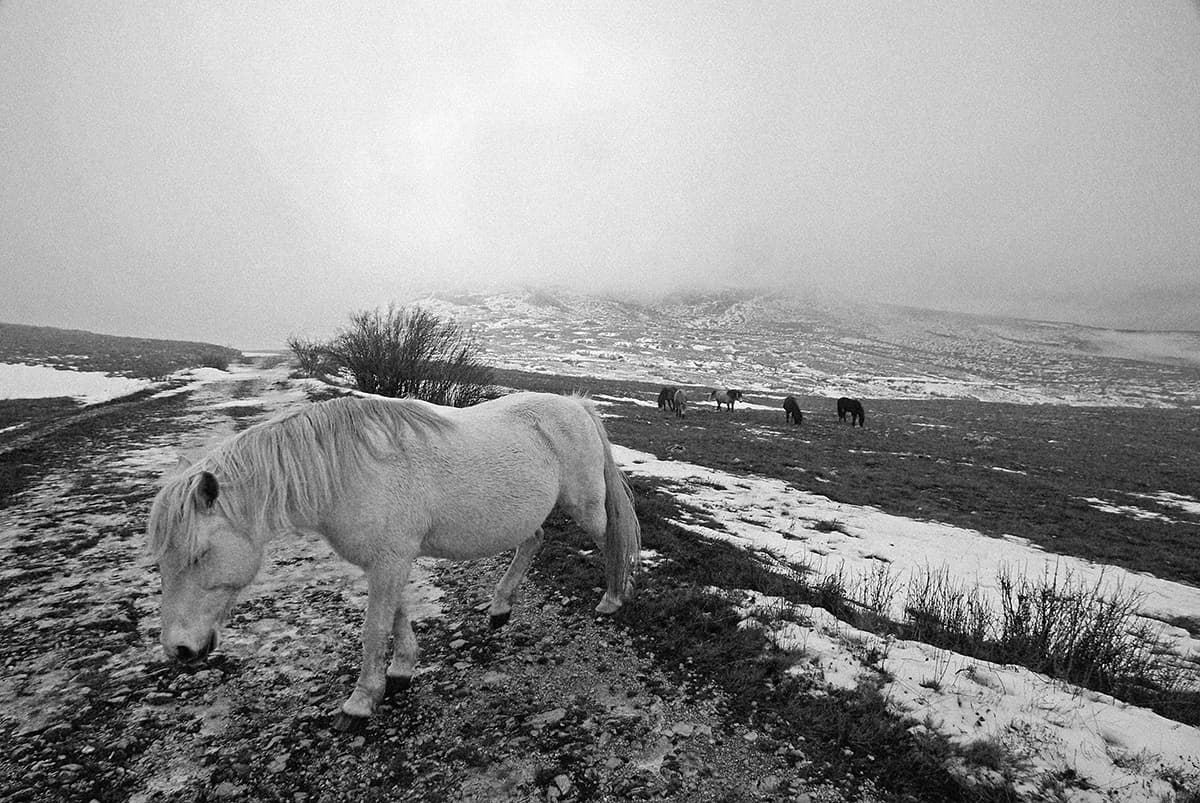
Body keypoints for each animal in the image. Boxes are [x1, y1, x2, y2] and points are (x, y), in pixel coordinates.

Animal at [148, 392, 641, 730]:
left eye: (198, 555)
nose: (180, 650)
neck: (349, 471)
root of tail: (575, 405)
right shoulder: (388, 561)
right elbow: (397, 615)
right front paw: (402, 670)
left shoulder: (390, 561)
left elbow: (373, 629)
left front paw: (360, 703)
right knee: (534, 540)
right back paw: (500, 607)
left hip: (585, 506)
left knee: (610, 541)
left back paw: (612, 599)